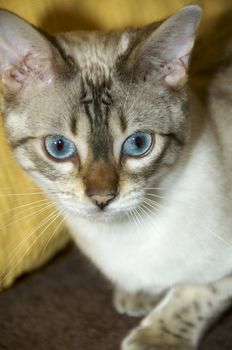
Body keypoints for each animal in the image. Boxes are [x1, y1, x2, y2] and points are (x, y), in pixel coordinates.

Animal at [0, 5, 232, 350]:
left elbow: (198, 291)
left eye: (138, 144)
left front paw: (156, 338)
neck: (125, 235)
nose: (102, 198)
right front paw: (139, 296)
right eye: (59, 147)